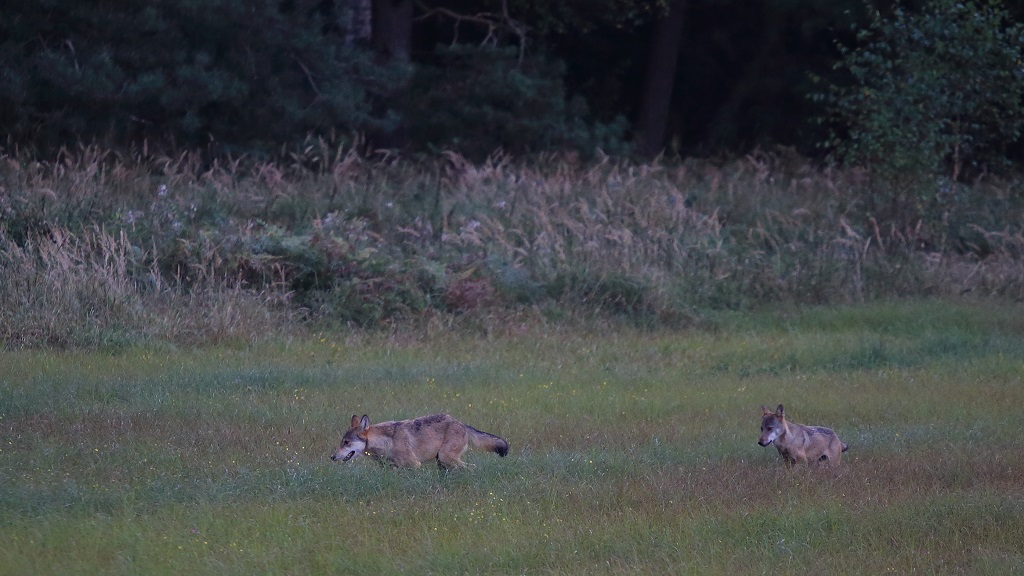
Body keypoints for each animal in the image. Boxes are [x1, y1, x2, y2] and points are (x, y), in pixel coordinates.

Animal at [331, 413, 509, 469]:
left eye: (346, 442)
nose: (331, 457)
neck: (386, 443)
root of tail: (461, 423)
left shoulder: (414, 465)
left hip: (446, 458)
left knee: (471, 467)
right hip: (442, 462)